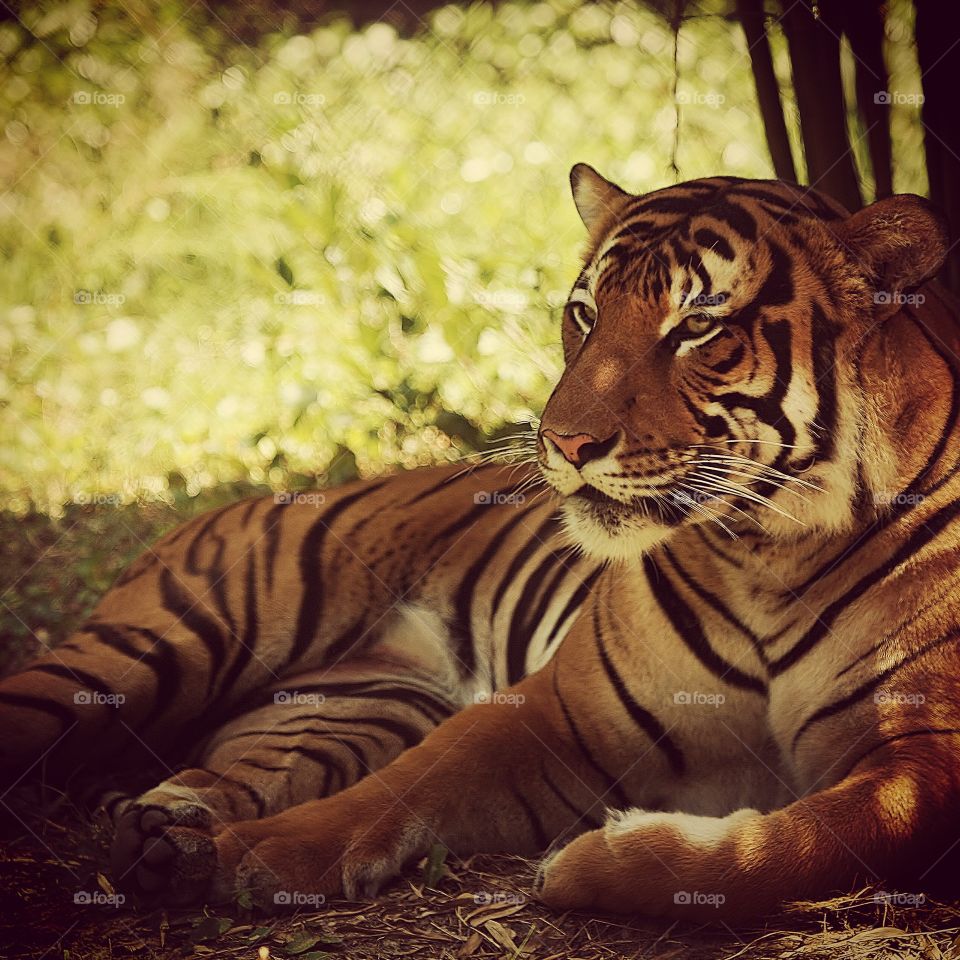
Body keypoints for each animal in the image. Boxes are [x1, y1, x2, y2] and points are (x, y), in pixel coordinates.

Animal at [1, 163, 960, 924]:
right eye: (584, 313)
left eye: (697, 327)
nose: (564, 443)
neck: (766, 551)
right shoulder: (560, 710)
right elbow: (401, 788)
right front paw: (247, 859)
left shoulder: (924, 757)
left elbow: (804, 844)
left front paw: (595, 861)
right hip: (157, 648)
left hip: (347, 710)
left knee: (227, 764)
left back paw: (166, 830)